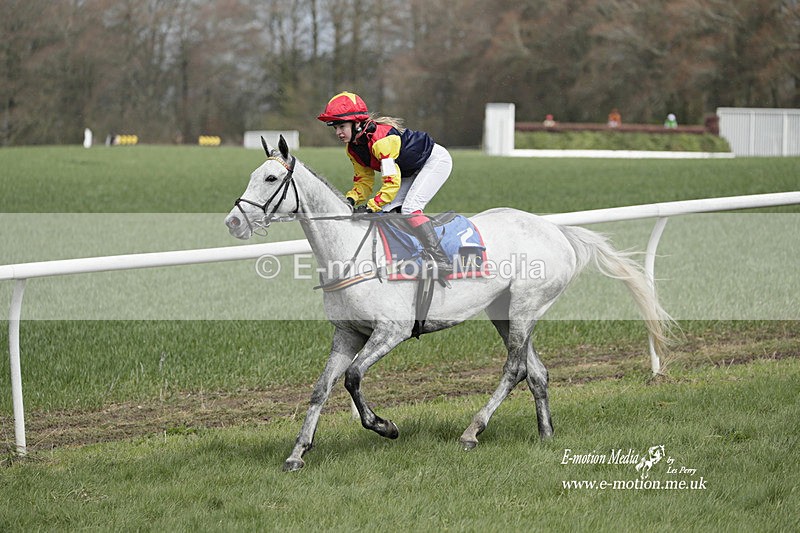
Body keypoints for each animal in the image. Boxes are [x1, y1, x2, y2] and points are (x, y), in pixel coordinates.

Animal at [225, 136, 671, 471]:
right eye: (252, 175)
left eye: (269, 177)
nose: (233, 222)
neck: (352, 252)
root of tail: (556, 230)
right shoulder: (347, 334)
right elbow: (321, 388)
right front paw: (298, 452)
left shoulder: (391, 331)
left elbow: (352, 378)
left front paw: (385, 426)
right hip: (504, 311)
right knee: (537, 372)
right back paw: (545, 434)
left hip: (525, 307)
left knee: (514, 369)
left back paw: (472, 431)